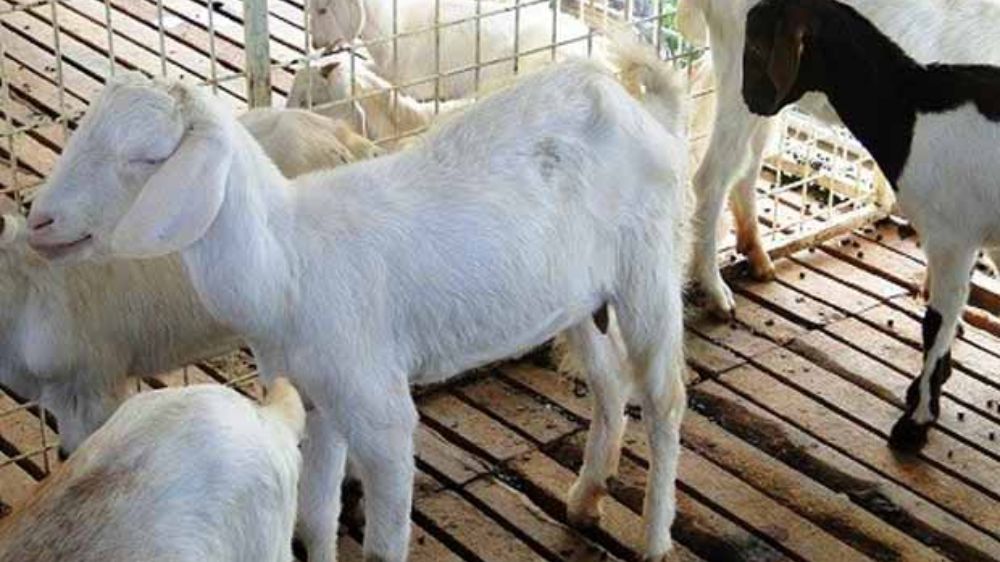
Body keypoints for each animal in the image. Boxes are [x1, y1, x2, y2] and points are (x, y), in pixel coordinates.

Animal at [742, 0, 1000, 452]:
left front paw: (916, 423)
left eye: (757, 46)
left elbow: (936, 322)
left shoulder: (952, 237)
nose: (750, 99)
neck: (908, 109)